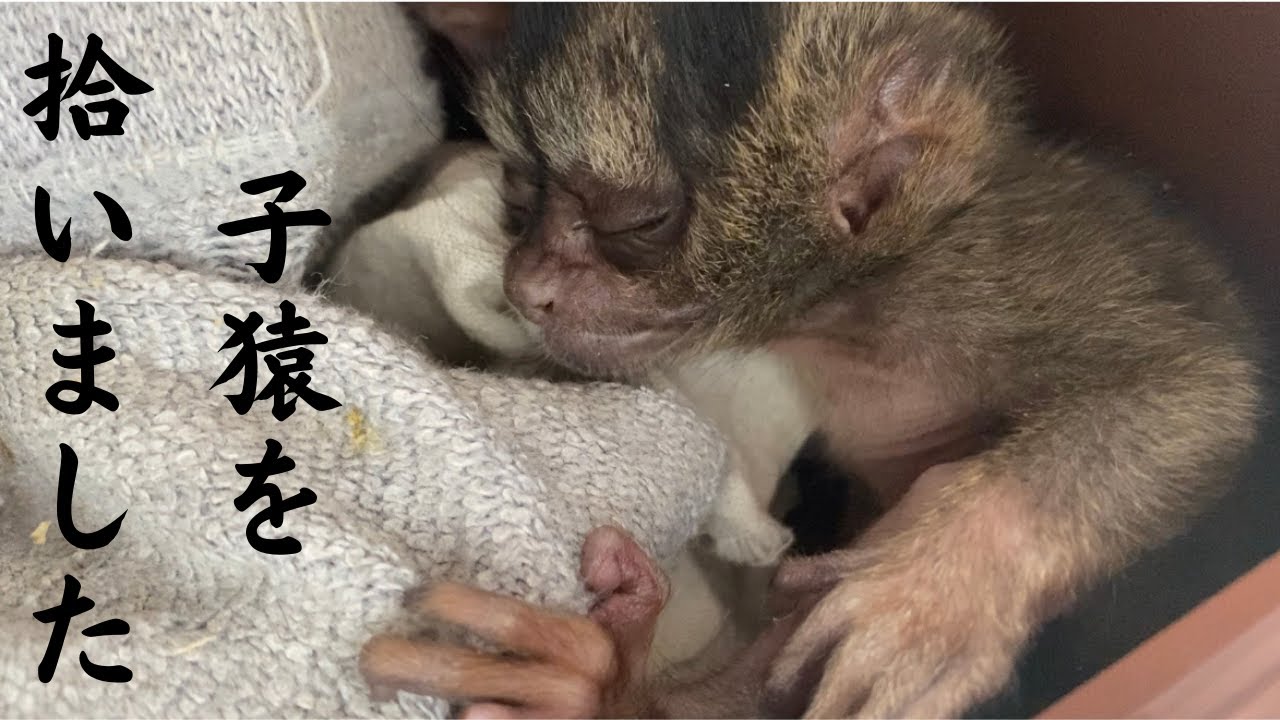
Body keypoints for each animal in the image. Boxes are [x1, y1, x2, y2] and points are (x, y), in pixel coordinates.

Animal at [360, 3, 1263, 718]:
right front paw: (600, 691)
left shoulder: (987, 267)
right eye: (519, 189)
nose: (529, 285)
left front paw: (929, 597)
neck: (845, 307)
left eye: (639, 224)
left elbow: (1202, 387)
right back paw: (597, 690)